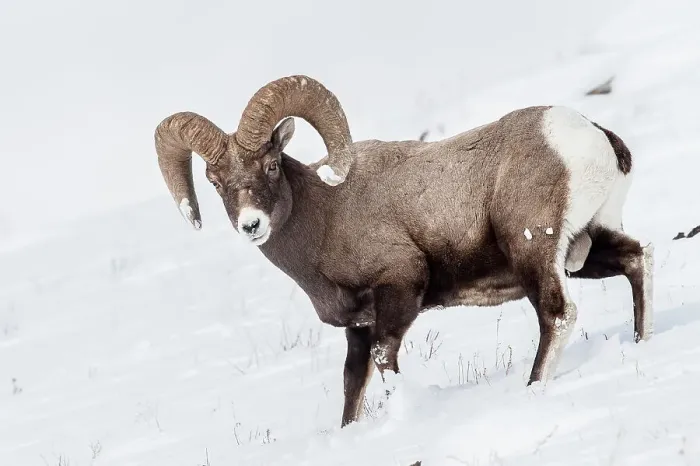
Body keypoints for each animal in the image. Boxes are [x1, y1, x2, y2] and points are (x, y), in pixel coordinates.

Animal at [153, 75, 654, 427]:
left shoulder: (398, 290)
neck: (325, 218)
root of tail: (593, 138)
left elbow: (384, 362)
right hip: (588, 245)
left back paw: (532, 388)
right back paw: (641, 342)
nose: (251, 225)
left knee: (557, 314)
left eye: (272, 165)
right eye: (215, 183)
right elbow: (352, 385)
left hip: (535, 253)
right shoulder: (357, 326)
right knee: (637, 258)